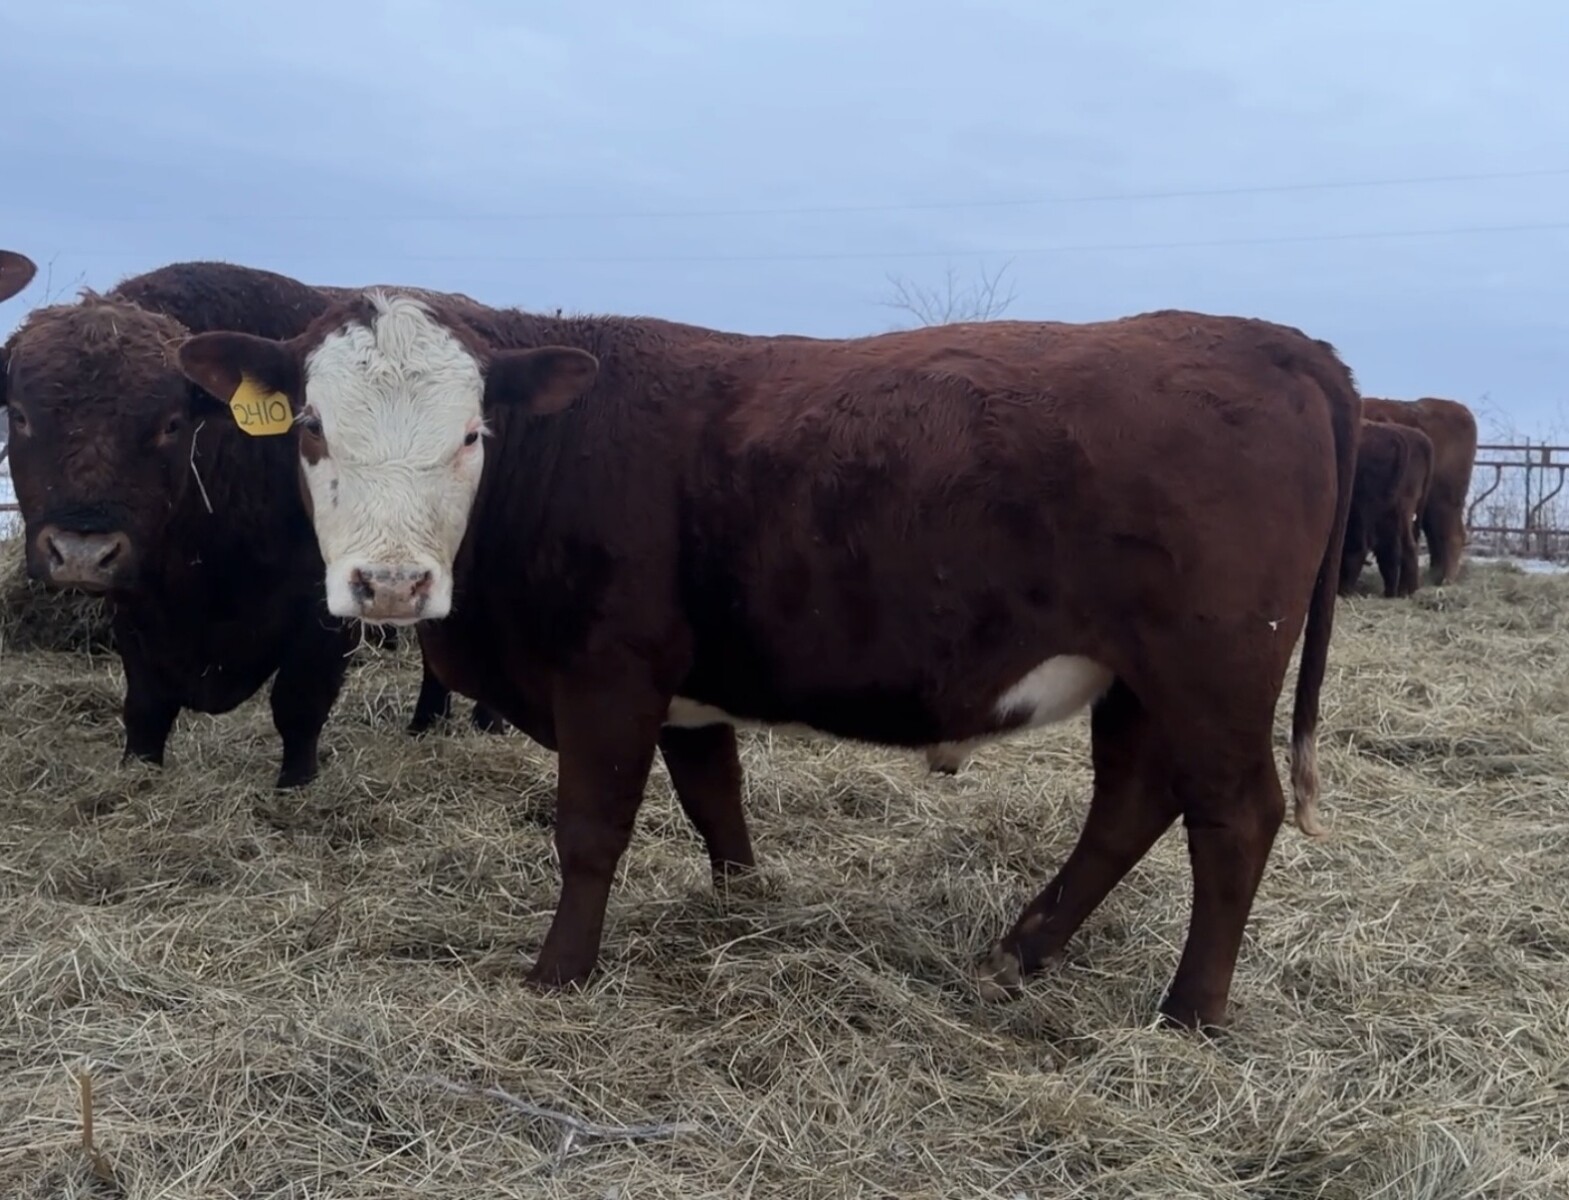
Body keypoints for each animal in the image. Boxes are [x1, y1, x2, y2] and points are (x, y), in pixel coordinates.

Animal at [0, 258, 497, 788]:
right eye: (21, 416)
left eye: (170, 424)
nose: (80, 554)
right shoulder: (136, 608)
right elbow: (147, 707)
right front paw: (140, 772)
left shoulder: (323, 611)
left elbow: (299, 705)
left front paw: (295, 785)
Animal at [176, 295, 1360, 1031]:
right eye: (311, 427)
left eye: (473, 433)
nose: (390, 585)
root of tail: (1275, 341)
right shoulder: (688, 693)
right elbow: (717, 801)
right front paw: (742, 908)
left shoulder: (609, 672)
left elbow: (590, 832)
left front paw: (558, 975)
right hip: (1142, 682)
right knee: (1131, 805)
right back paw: (1019, 952)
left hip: (1211, 670)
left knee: (1233, 817)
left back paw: (1189, 1011)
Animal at [1360, 396, 1477, 585]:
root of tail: (1462, 411)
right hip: (1431, 505)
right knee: (1436, 539)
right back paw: (1434, 578)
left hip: (1444, 500)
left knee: (1451, 536)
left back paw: (1445, 581)